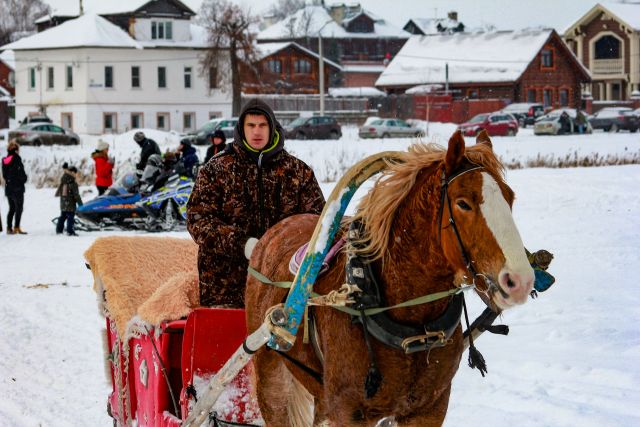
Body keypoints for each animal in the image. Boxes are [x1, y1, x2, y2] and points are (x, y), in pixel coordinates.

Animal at [245, 131, 536, 427]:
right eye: (463, 203)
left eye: (510, 198)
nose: (520, 280)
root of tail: (273, 232)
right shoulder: (349, 412)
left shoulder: (429, 409)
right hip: (272, 376)